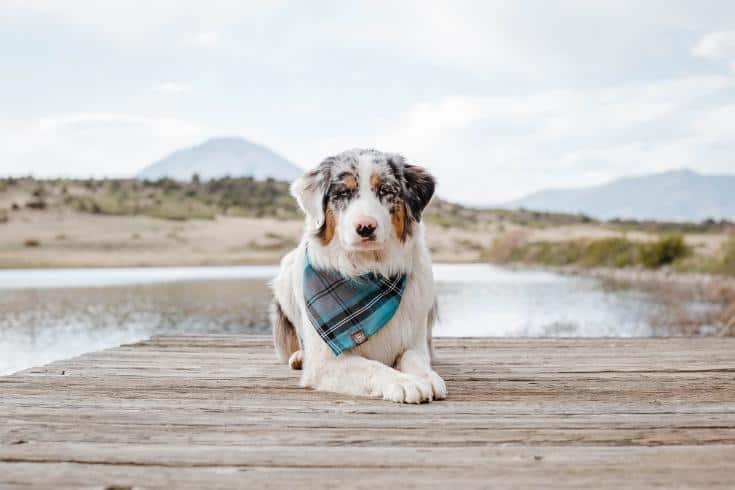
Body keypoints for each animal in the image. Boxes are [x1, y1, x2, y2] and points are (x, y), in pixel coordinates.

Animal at [268, 148, 446, 402]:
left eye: (385, 190)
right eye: (343, 193)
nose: (365, 226)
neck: (366, 269)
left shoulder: (414, 341)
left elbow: (413, 358)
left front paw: (425, 377)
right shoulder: (325, 363)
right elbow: (372, 366)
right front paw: (404, 382)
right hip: (286, 272)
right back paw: (299, 357)